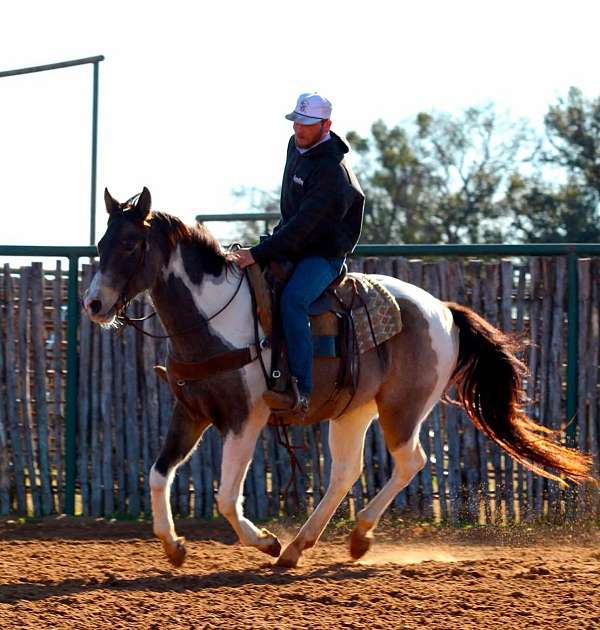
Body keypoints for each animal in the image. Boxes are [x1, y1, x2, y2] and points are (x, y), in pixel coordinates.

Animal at [82, 190, 592, 572]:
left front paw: (265, 541)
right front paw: (174, 547)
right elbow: (158, 474)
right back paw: (301, 546)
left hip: (402, 409)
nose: (93, 304)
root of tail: (444, 311)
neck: (213, 316)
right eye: (102, 243)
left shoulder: (245, 419)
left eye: (130, 244)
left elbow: (226, 497)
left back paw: (353, 538)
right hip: (353, 411)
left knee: (411, 461)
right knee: (346, 471)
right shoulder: (190, 413)